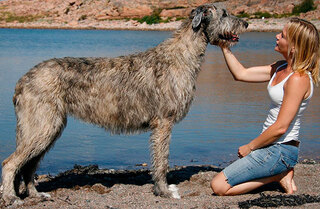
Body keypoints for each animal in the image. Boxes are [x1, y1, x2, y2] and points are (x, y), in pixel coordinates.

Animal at [0, 2, 248, 206]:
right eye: (224, 13)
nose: (246, 22)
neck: (181, 56)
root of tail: (23, 80)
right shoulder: (163, 122)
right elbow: (162, 161)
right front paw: (164, 191)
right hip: (42, 125)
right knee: (10, 163)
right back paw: (11, 197)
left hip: (47, 127)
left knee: (29, 165)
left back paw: (35, 194)